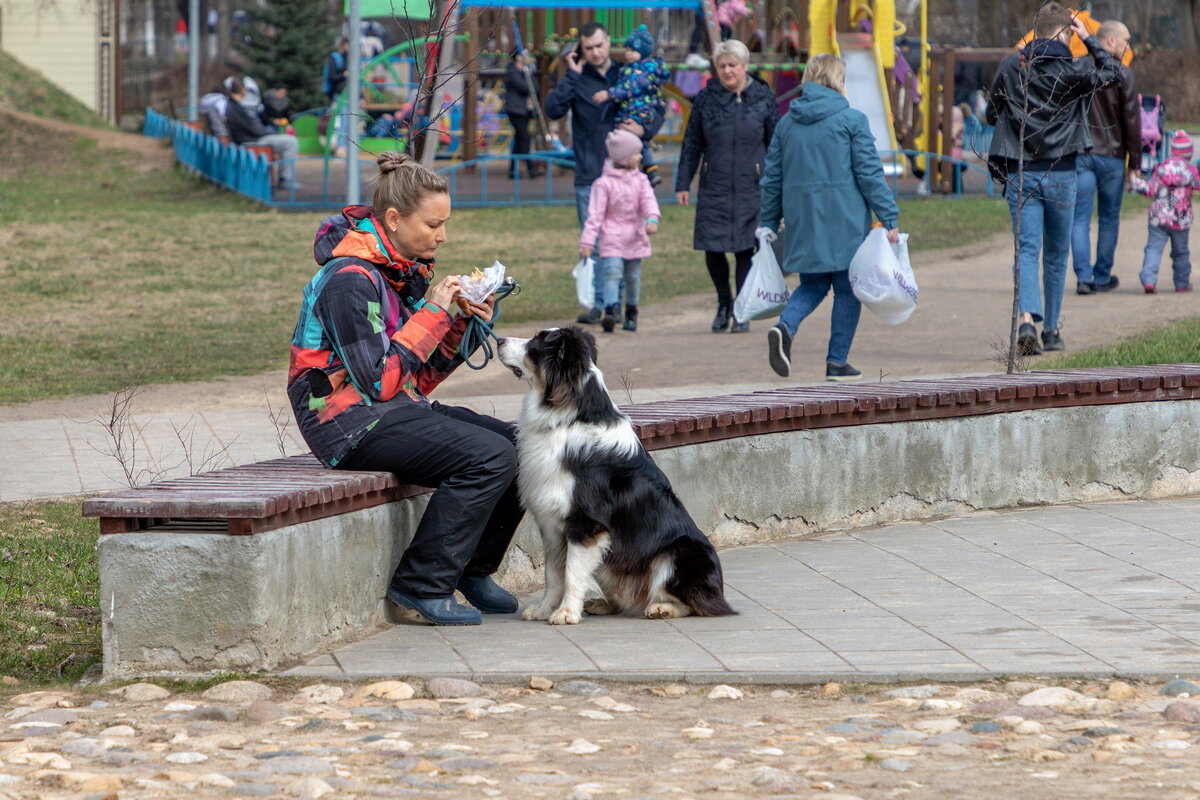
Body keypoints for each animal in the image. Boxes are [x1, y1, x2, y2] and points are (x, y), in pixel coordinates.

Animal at [494, 326, 734, 623]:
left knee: (692, 603)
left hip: (679, 553)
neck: (568, 415)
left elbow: (571, 573)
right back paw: (603, 604)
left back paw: (660, 608)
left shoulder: (586, 523)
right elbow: (553, 573)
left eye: (536, 343)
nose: (498, 340)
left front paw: (566, 613)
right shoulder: (552, 522)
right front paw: (543, 609)